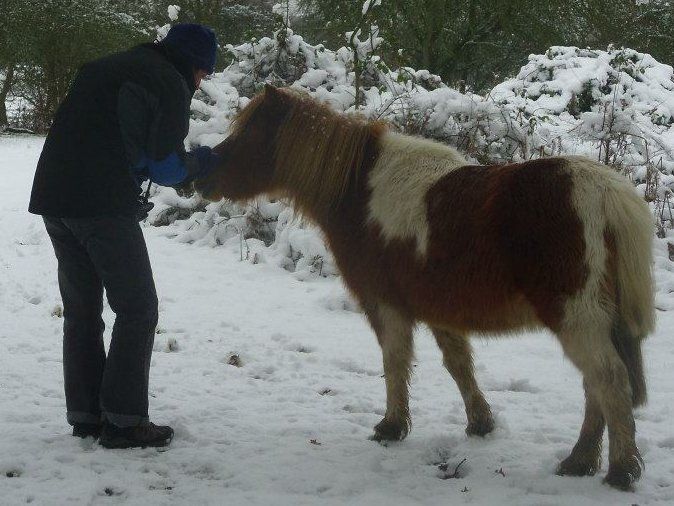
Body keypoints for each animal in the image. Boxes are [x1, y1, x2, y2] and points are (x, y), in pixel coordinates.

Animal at [195, 85, 655, 490]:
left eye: (249, 133)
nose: (201, 177)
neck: (360, 191)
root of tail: (606, 193)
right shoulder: (439, 310)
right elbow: (459, 365)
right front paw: (480, 423)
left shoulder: (387, 306)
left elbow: (395, 363)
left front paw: (391, 427)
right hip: (591, 323)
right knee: (596, 387)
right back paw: (580, 462)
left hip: (577, 319)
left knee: (609, 382)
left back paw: (620, 471)